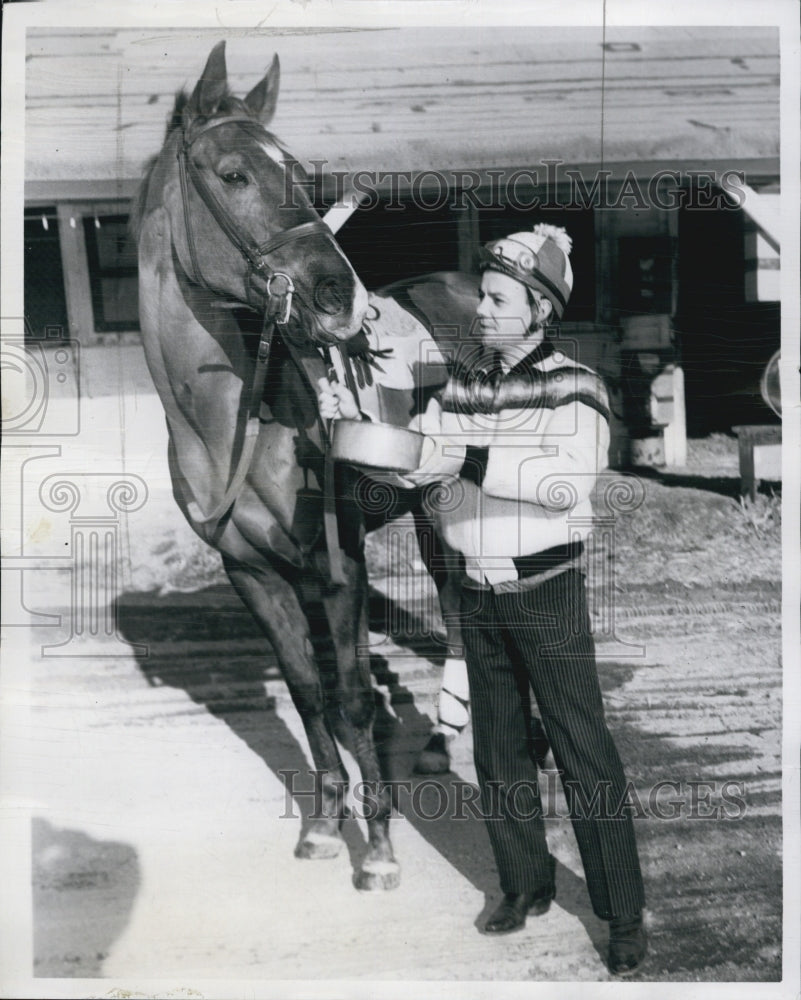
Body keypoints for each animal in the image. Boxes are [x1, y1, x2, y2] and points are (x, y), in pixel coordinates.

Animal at [130, 39, 476, 892]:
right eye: (233, 175)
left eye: (300, 172)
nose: (339, 297)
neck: (235, 424)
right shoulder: (252, 572)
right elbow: (307, 691)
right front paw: (323, 825)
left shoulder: (335, 562)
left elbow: (349, 694)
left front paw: (379, 846)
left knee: (461, 612)